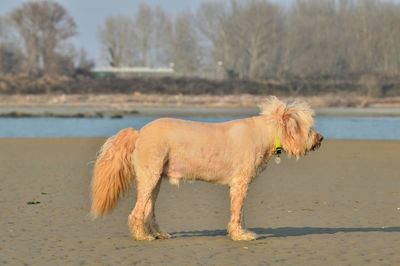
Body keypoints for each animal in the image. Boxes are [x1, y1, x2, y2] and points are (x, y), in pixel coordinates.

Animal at [90, 96, 322, 241]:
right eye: (308, 128)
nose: (320, 138)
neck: (265, 133)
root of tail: (138, 134)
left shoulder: (238, 186)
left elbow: (240, 212)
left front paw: (240, 232)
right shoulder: (240, 183)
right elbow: (237, 212)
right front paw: (240, 235)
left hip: (154, 180)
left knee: (148, 210)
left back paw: (157, 234)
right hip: (150, 176)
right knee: (137, 212)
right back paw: (142, 236)